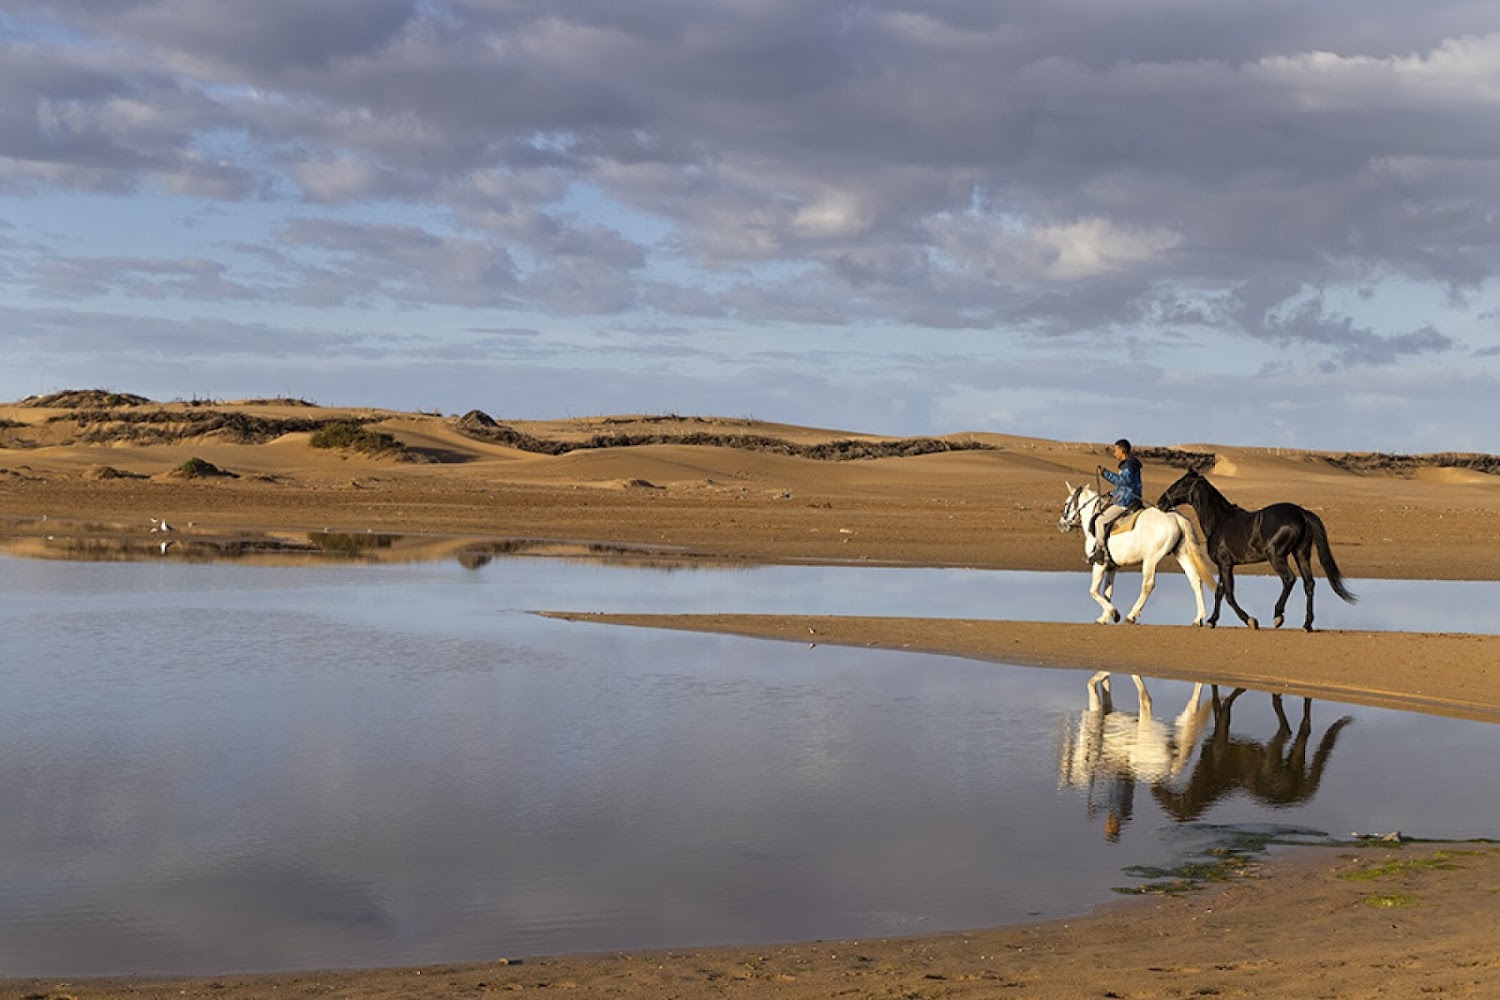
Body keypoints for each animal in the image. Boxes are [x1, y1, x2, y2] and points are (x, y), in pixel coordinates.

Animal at [1057, 482, 1218, 626]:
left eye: (1066, 503)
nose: (1061, 525)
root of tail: (1176, 517)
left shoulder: (1099, 565)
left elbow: (1094, 591)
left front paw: (1114, 613)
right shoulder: (1111, 567)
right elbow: (1107, 592)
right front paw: (1104, 617)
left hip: (1150, 560)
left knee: (1148, 585)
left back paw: (1131, 616)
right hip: (1181, 554)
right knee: (1195, 580)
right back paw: (1198, 618)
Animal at [1156, 468, 1357, 631]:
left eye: (1182, 483)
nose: (1160, 502)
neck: (1220, 522)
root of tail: (1301, 513)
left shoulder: (1225, 564)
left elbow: (1228, 594)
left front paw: (1250, 621)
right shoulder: (1225, 565)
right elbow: (1221, 591)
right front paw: (1213, 621)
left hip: (1276, 556)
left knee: (1289, 579)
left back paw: (1278, 617)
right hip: (1301, 554)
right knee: (1309, 584)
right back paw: (1307, 624)